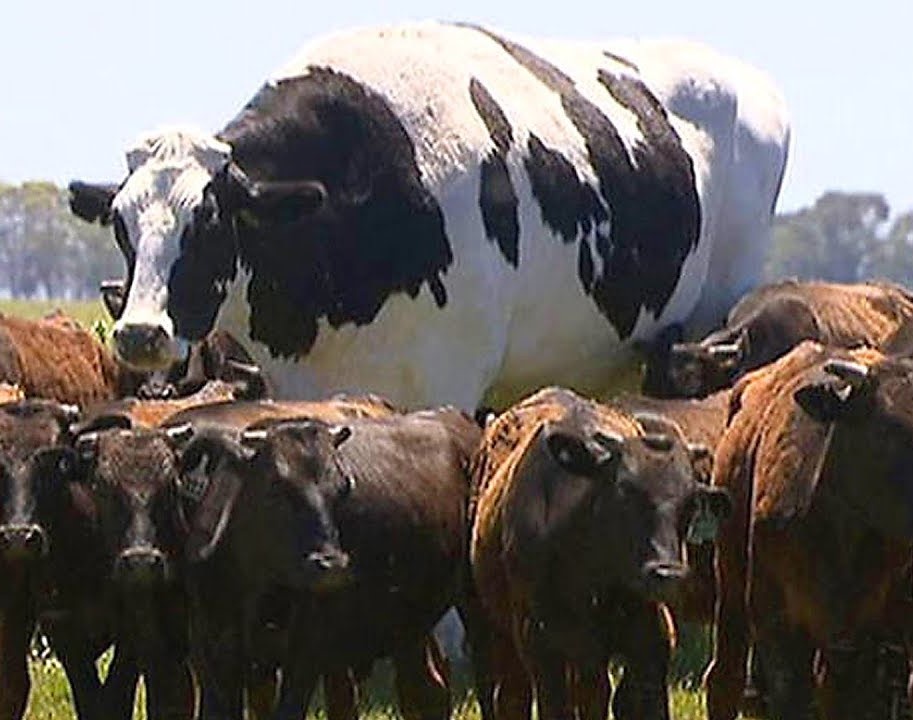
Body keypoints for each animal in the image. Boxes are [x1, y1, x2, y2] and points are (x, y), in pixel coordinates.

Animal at [166, 406, 480, 719]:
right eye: (275, 487)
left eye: (344, 487)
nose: (332, 565)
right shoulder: (212, 654)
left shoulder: (306, 650)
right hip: (409, 626)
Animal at [469, 386, 730, 720]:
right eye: (623, 492)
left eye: (691, 503)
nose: (667, 573)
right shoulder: (541, 643)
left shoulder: (650, 637)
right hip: (503, 633)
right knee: (513, 697)